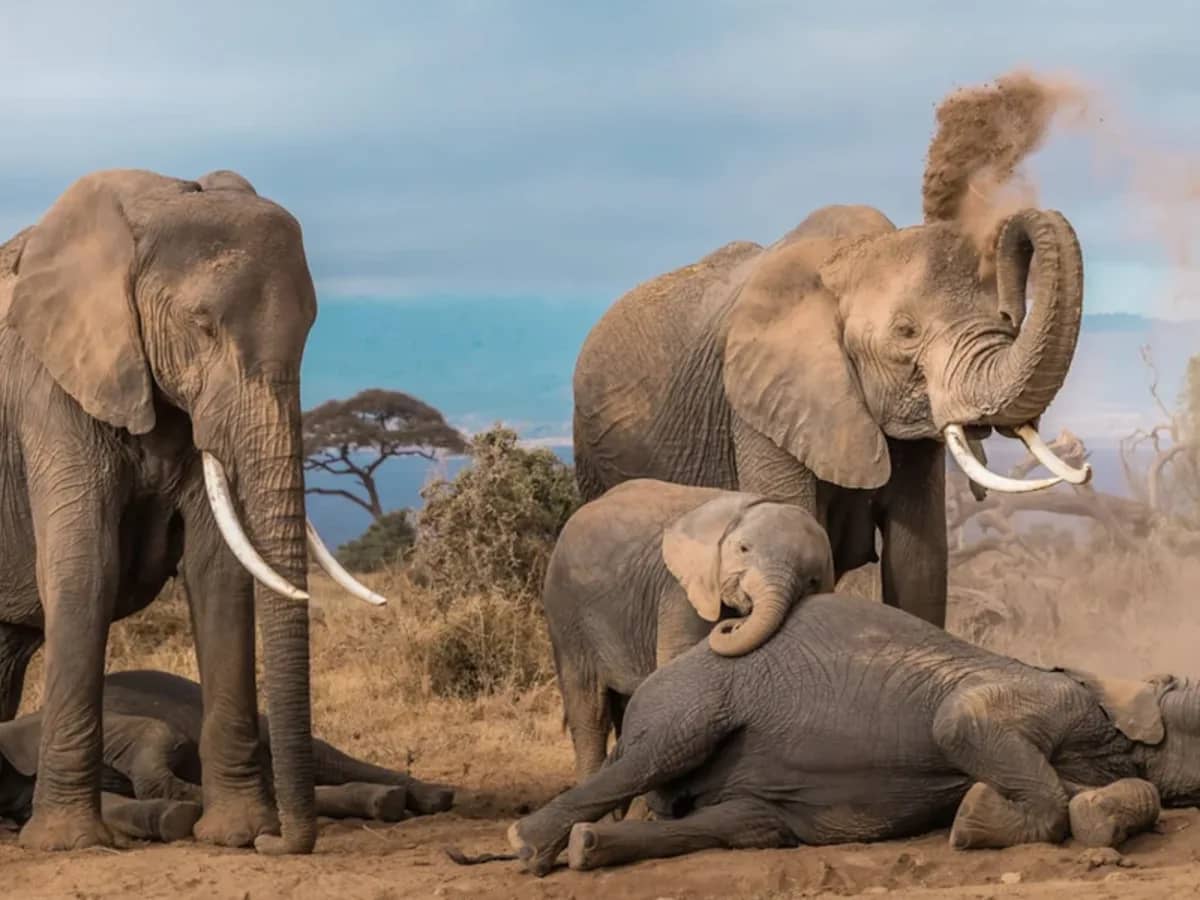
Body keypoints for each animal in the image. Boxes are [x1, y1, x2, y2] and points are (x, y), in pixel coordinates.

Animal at [0, 169, 386, 854]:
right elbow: (84, 567)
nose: (279, 843)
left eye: (310, 329)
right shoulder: (50, 391)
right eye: (201, 324)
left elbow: (218, 572)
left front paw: (238, 834)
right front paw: (71, 843)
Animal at [0, 670, 453, 843]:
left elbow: (157, 734)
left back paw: (436, 797)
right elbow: (110, 804)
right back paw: (385, 801)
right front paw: (173, 816)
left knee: (323, 758)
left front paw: (193, 803)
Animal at [508, 594, 1197, 876]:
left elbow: (1112, 796)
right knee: (660, 748)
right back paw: (530, 846)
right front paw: (973, 820)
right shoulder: (1053, 697)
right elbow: (961, 721)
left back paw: (587, 848)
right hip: (695, 697)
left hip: (752, 810)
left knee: (742, 825)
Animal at [543, 479, 834, 780]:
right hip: (566, 611)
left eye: (811, 581)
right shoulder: (680, 591)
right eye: (743, 549)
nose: (738, 620)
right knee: (589, 710)